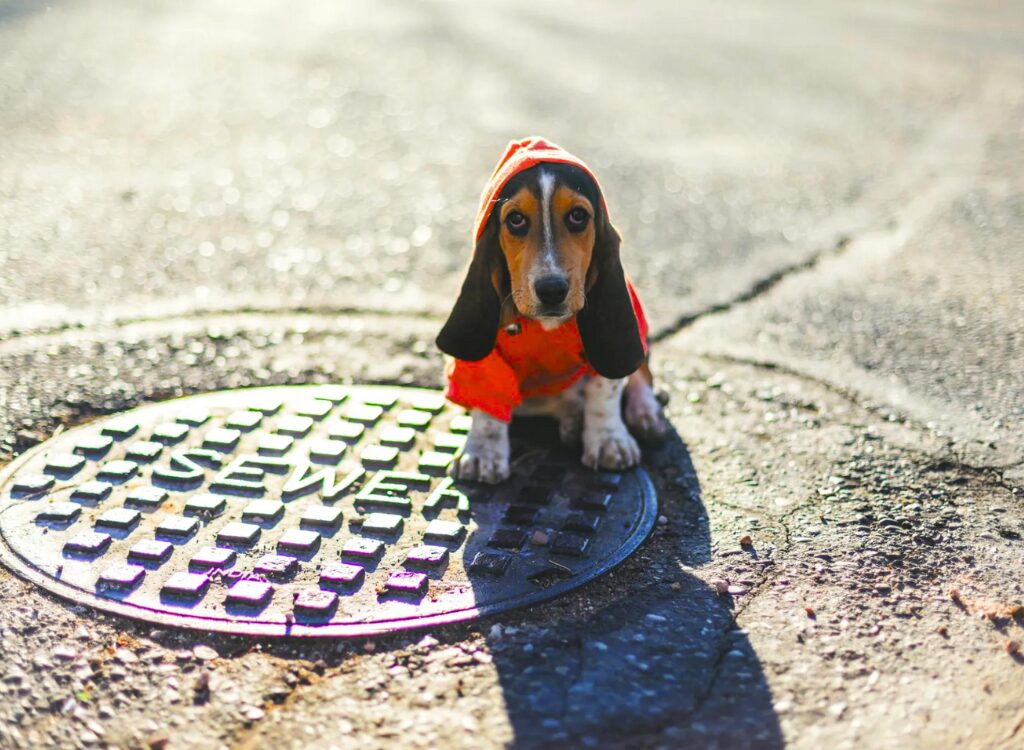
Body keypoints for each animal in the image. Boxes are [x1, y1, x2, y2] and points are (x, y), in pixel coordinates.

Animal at [436, 137, 667, 483]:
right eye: (515, 220)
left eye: (578, 216)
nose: (552, 289)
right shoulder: (482, 361)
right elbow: (488, 403)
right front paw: (482, 453)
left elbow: (605, 389)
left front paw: (608, 441)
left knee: (640, 374)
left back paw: (645, 413)